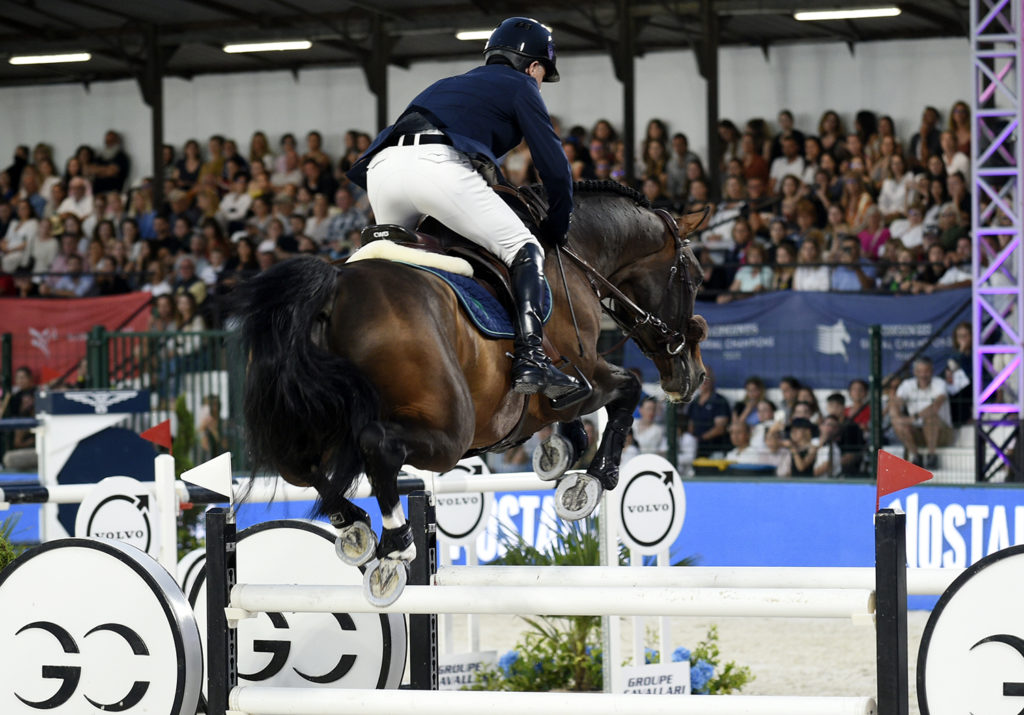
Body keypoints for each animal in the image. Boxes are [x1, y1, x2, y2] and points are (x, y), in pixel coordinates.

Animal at [234, 181, 704, 602]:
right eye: (696, 278)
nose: (692, 376)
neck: (574, 259)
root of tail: (333, 288)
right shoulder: (586, 375)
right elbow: (628, 390)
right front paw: (587, 483)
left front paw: (559, 454)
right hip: (448, 433)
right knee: (379, 446)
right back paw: (395, 547)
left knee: (299, 467)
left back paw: (355, 529)